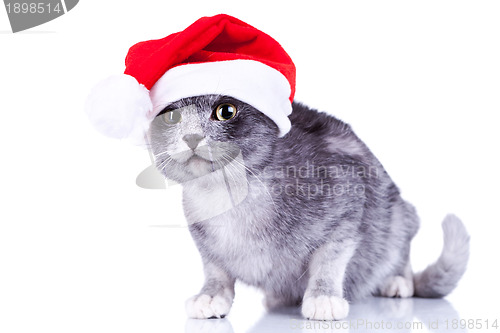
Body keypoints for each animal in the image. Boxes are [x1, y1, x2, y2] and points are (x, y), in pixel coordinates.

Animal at [147, 92, 468, 320]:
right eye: (172, 116)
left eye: (226, 111)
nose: (191, 136)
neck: (229, 197)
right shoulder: (205, 246)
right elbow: (216, 270)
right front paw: (212, 295)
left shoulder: (347, 203)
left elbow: (329, 260)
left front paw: (323, 297)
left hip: (397, 214)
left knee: (400, 243)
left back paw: (397, 281)